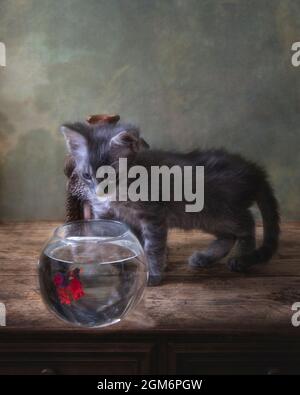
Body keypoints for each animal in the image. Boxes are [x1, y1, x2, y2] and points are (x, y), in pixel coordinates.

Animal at [61, 122, 278, 286]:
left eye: (110, 175)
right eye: (87, 175)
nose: (99, 191)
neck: (119, 196)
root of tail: (253, 170)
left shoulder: (153, 214)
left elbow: (153, 247)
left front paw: (153, 274)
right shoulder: (106, 215)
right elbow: (109, 241)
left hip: (221, 209)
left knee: (247, 224)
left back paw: (243, 258)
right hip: (206, 218)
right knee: (229, 236)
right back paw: (205, 257)